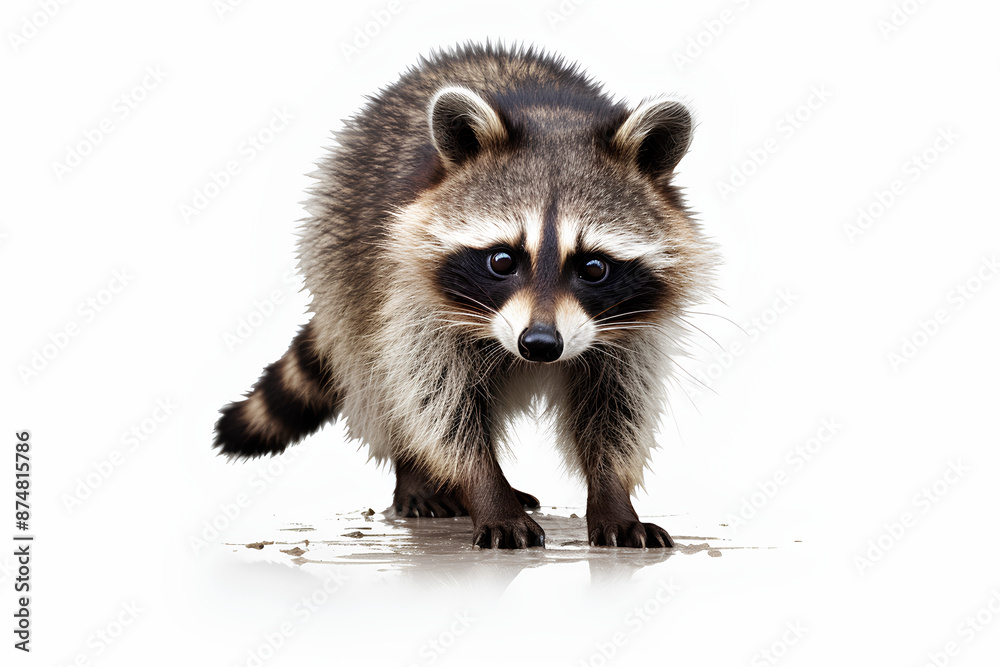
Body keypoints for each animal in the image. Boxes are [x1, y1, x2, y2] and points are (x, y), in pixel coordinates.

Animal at [214, 43, 717, 549]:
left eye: (594, 268)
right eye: (503, 260)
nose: (540, 344)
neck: (553, 115)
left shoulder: (633, 330)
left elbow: (617, 408)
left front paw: (612, 493)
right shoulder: (411, 297)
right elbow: (436, 404)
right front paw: (486, 489)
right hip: (339, 258)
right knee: (381, 381)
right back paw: (415, 472)